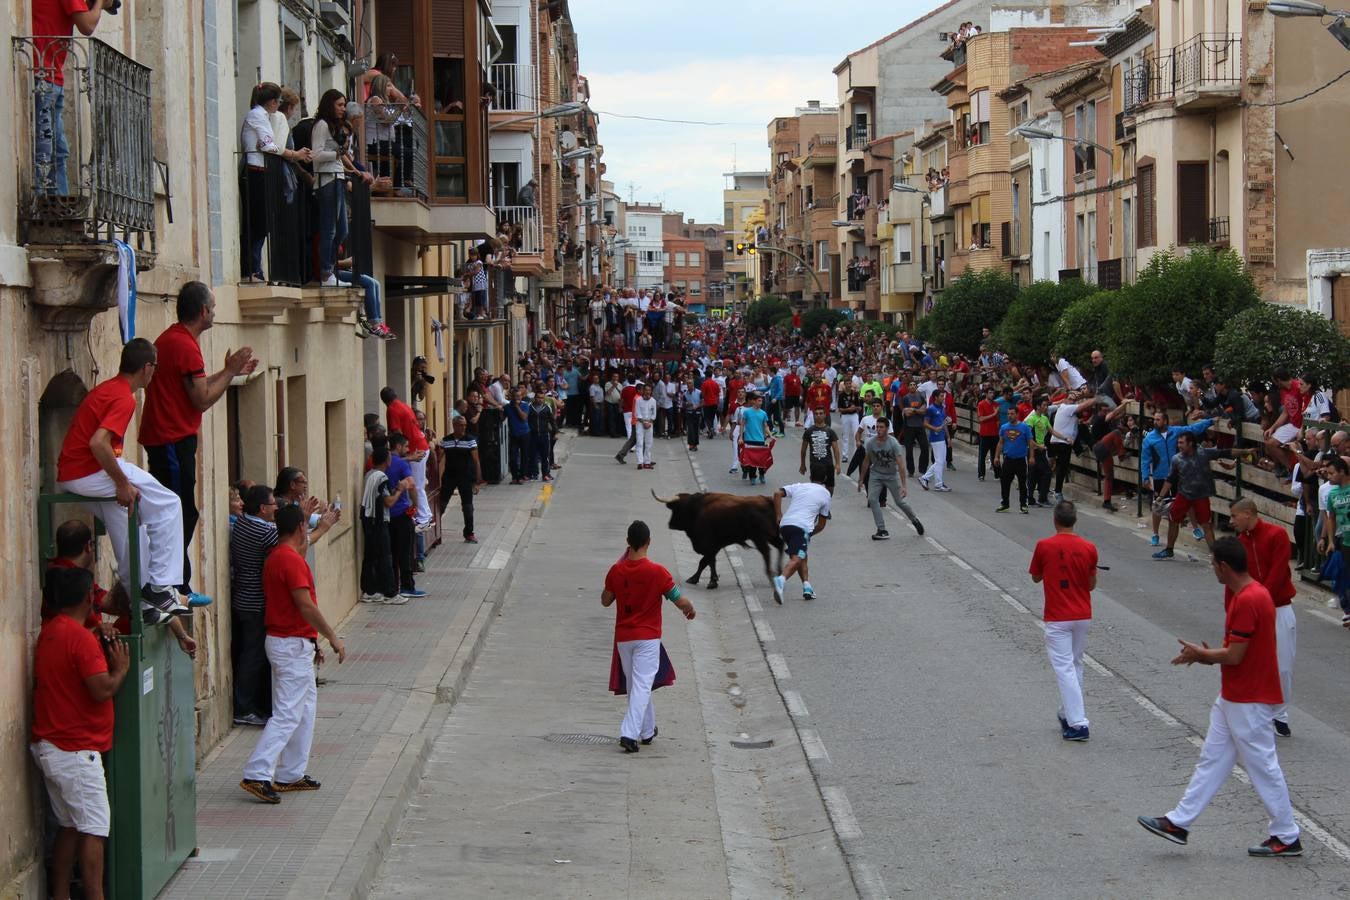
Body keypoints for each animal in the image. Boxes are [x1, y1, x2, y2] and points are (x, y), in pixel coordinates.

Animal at [650, 493, 788, 591]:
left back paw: (771, 575)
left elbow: (708, 562)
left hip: (759, 538)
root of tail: (767, 500)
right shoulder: (715, 546)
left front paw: (712, 582)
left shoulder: (709, 545)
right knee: (780, 546)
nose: (670, 524)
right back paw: (779, 571)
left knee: (766, 552)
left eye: (677, 508)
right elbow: (705, 562)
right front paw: (695, 578)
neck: (696, 508)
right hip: (772, 536)